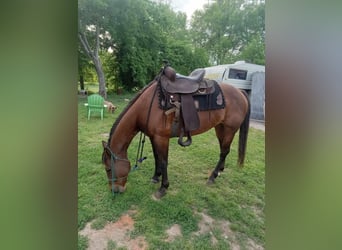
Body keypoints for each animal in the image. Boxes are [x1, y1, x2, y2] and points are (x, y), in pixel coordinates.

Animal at [100, 65, 250, 198]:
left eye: (108, 169)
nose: (115, 190)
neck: (146, 106)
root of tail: (240, 92)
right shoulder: (153, 137)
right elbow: (157, 157)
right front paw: (156, 177)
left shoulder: (161, 137)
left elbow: (163, 161)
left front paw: (163, 188)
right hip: (220, 127)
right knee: (223, 150)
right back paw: (219, 170)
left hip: (230, 129)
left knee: (224, 151)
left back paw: (212, 177)